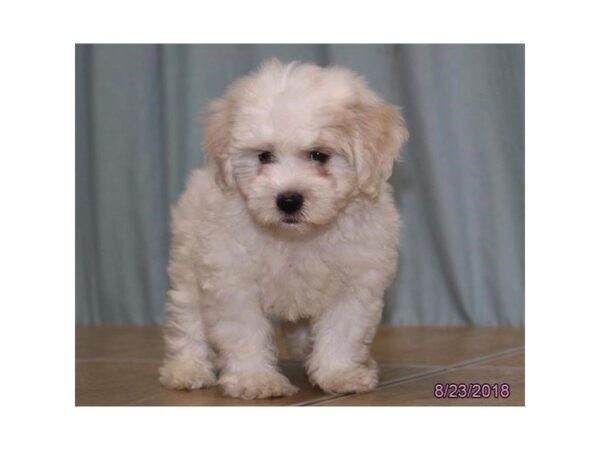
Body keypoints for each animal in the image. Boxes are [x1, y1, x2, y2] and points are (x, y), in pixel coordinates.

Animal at [158, 59, 408, 398]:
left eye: (319, 155)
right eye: (264, 156)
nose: (288, 200)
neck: (297, 237)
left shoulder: (356, 282)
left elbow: (343, 331)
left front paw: (339, 373)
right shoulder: (233, 280)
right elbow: (244, 331)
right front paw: (254, 379)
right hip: (187, 264)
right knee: (188, 318)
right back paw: (187, 369)